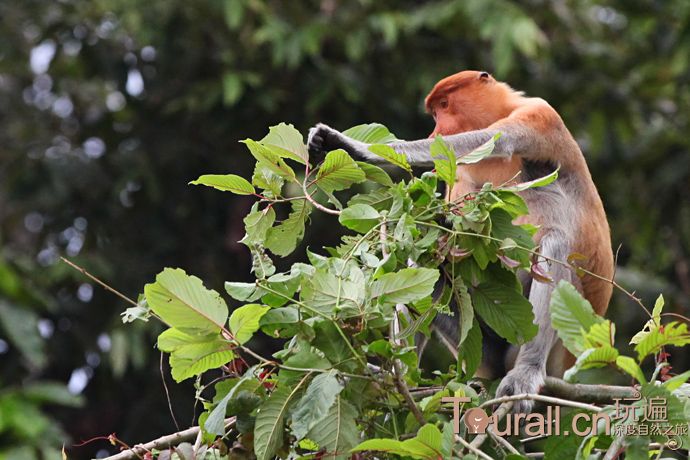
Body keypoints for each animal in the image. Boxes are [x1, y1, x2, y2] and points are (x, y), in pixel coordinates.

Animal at [306, 70, 612, 412]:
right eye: (435, 112)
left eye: (444, 105)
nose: (436, 130)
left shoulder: (539, 115)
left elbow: (494, 140)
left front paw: (351, 146)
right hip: (476, 348)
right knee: (427, 266)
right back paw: (399, 378)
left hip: (553, 348)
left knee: (555, 245)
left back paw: (525, 373)